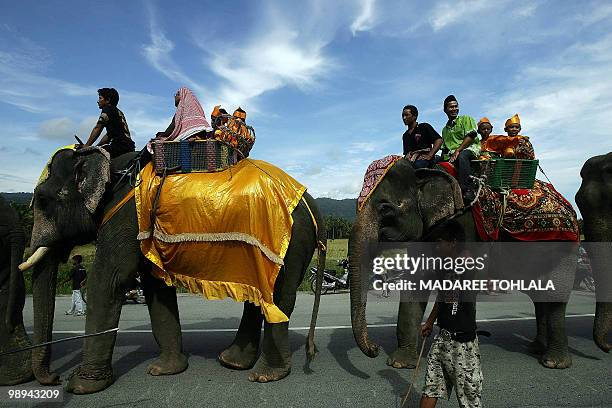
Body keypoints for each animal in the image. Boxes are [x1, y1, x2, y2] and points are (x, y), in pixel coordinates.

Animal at [20, 147, 326, 396]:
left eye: (43, 201)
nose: (54, 378)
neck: (108, 160)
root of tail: (311, 203)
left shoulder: (125, 217)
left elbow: (109, 281)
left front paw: (81, 387)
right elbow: (155, 286)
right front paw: (164, 371)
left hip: (289, 241)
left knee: (278, 298)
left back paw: (265, 375)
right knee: (259, 297)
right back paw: (232, 362)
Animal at [350, 158, 604, 372]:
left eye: (385, 208)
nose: (374, 349)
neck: (424, 172)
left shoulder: (466, 226)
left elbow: (466, 279)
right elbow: (415, 283)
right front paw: (401, 363)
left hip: (564, 246)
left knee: (555, 297)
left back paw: (553, 362)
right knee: (541, 296)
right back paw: (536, 348)